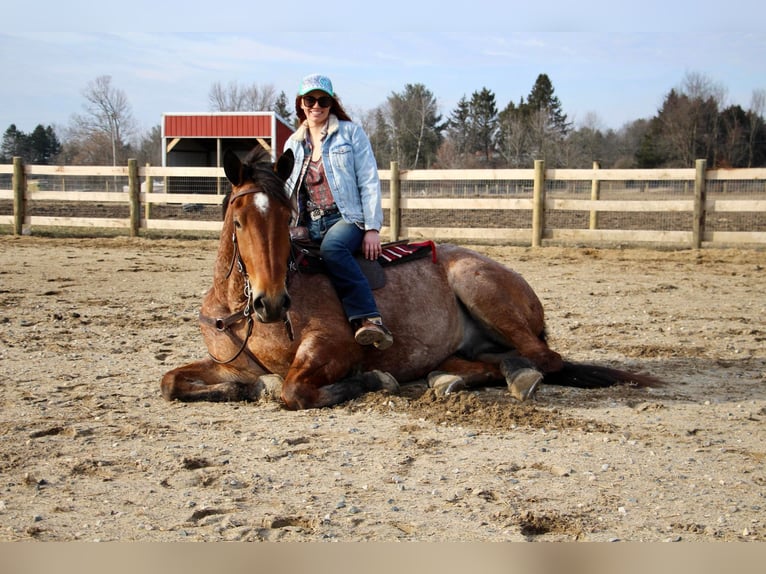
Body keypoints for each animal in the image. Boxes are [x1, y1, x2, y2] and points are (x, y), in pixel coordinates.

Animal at [160, 146, 660, 412]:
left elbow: (294, 390)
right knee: (493, 360)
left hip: (477, 284)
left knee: (545, 359)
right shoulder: (232, 363)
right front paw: (246, 387)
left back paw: (512, 376)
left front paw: (377, 379)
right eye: (239, 221)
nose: (271, 302)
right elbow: (171, 382)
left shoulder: (335, 347)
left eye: (287, 217)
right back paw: (448, 378)